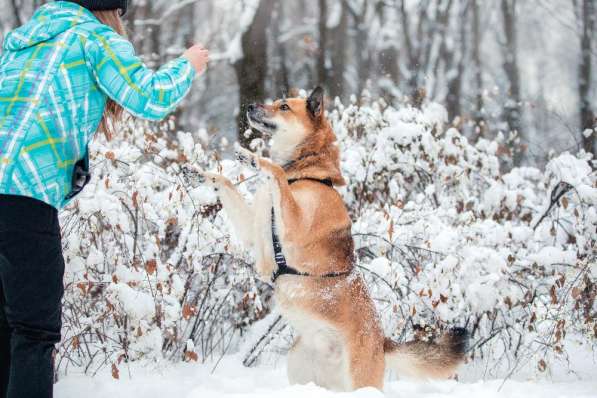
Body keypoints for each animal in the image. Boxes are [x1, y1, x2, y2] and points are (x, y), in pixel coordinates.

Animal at [182, 88, 466, 392]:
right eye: (275, 101)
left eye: (284, 106)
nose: (249, 107)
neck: (304, 173)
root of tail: (383, 342)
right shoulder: (254, 232)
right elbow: (224, 182)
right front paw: (199, 174)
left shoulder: (293, 225)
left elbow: (276, 172)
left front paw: (253, 158)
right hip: (300, 366)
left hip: (360, 380)